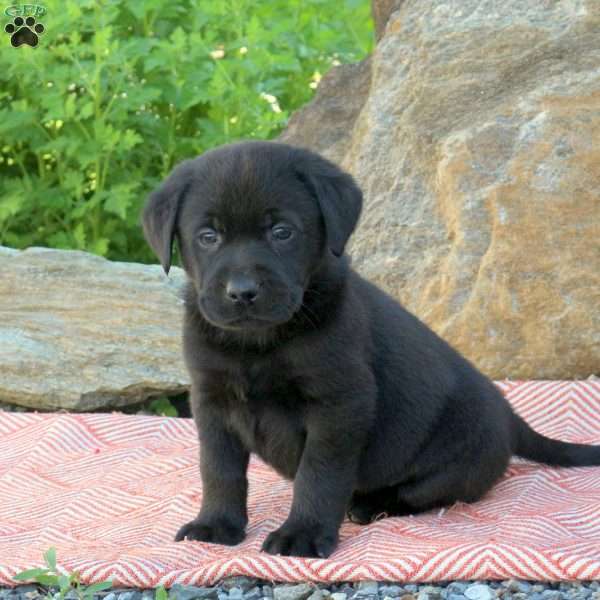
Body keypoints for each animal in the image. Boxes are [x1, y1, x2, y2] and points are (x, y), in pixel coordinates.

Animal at [142, 141, 600, 556]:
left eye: (282, 232)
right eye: (208, 236)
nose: (242, 292)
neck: (258, 345)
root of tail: (509, 416)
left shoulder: (339, 404)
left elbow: (319, 474)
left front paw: (303, 533)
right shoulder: (212, 400)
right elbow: (218, 469)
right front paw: (216, 524)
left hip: (457, 459)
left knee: (423, 492)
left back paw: (368, 505)